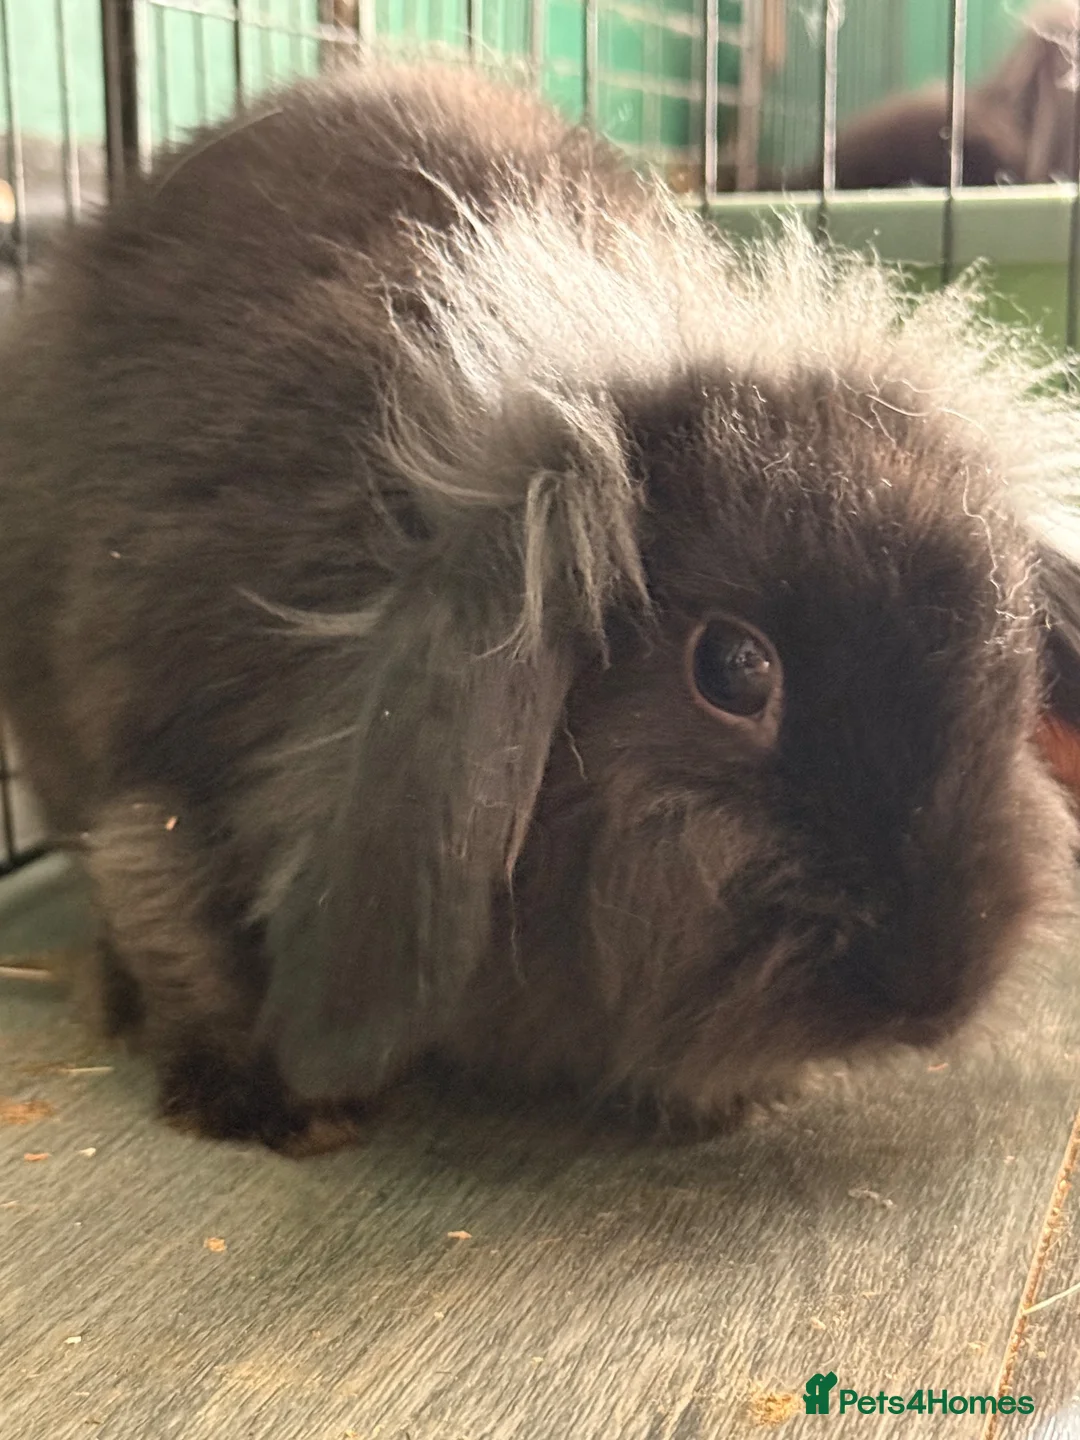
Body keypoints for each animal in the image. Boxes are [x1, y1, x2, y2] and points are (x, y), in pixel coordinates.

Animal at [0, 61, 1079, 1154]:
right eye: (733, 669)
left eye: (1012, 679)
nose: (937, 993)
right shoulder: (161, 803)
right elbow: (168, 921)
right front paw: (275, 1110)